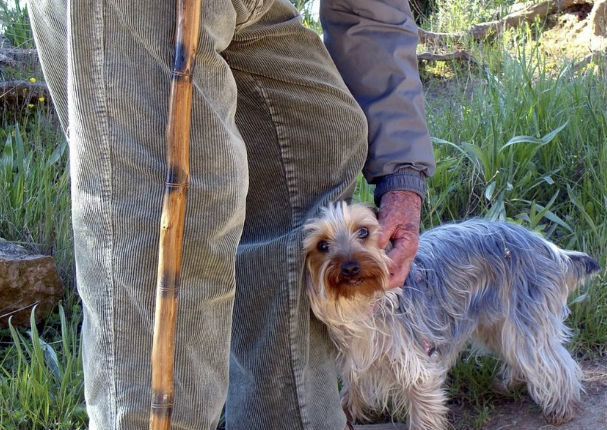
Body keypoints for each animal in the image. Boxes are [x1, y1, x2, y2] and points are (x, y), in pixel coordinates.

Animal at [306, 202, 600, 430]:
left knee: (550, 359)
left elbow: (422, 407)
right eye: (322, 245)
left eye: (363, 232)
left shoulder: (417, 364)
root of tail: (549, 248)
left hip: (526, 314)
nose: (350, 267)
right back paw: (508, 383)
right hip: (495, 322)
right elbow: (351, 391)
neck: (361, 303)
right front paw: (346, 412)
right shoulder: (358, 358)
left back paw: (561, 407)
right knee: (517, 351)